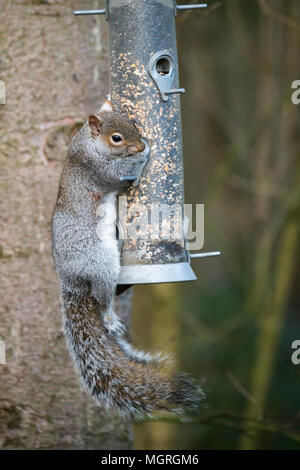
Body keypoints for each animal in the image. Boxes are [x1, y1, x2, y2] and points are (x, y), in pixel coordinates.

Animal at [52, 99, 204, 418]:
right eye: (116, 138)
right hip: (101, 265)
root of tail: (71, 281)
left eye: (133, 124)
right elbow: (120, 170)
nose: (141, 144)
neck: (88, 143)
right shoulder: (99, 170)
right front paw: (144, 154)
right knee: (101, 297)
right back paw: (110, 319)